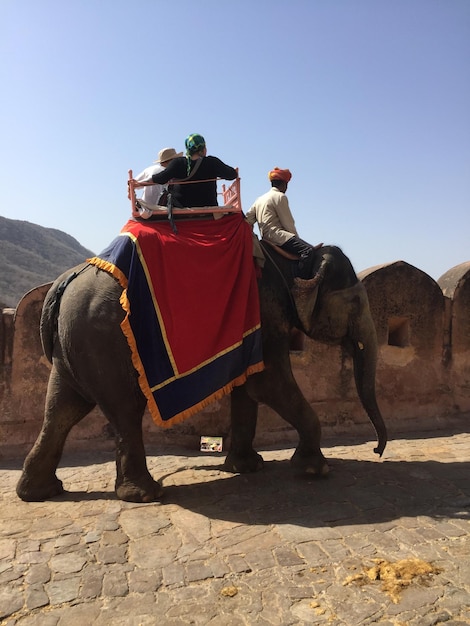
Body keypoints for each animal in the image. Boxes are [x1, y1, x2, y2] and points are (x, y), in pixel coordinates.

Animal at [16, 239, 388, 502]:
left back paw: (39, 492)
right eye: (357, 302)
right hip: (104, 339)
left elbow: (247, 388)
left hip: (75, 346)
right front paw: (315, 469)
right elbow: (268, 383)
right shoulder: (266, 311)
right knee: (124, 410)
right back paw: (146, 495)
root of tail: (64, 282)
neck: (294, 259)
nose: (377, 450)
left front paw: (247, 467)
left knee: (63, 408)